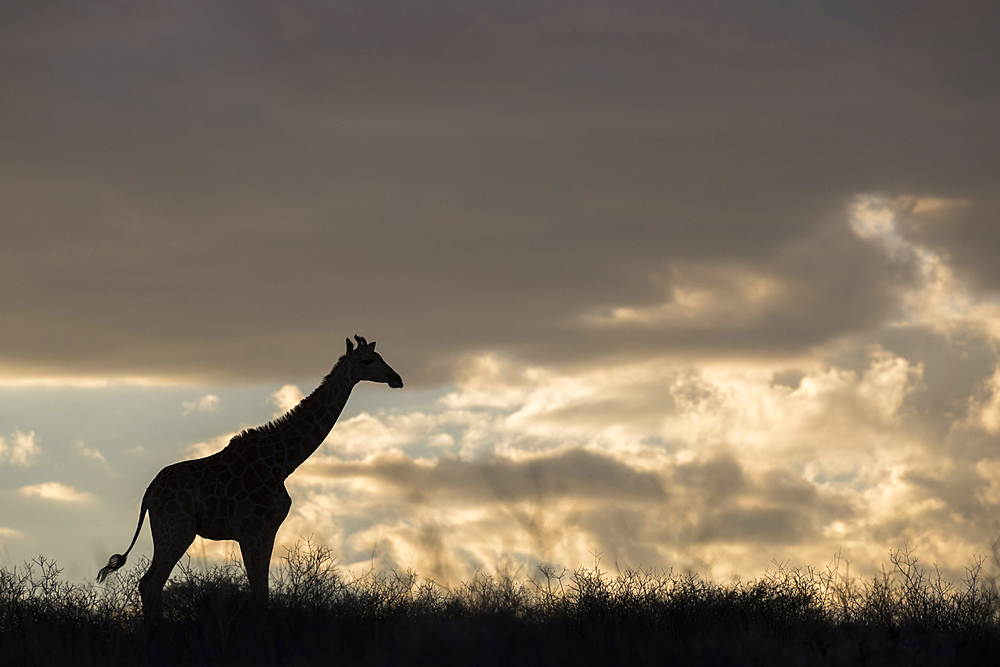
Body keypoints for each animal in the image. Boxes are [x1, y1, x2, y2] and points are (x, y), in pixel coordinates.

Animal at [96, 336, 402, 620]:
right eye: (367, 360)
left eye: (380, 356)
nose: (396, 378)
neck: (283, 462)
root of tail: (149, 493)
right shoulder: (251, 529)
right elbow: (257, 592)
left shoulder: (268, 530)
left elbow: (262, 590)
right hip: (176, 529)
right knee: (150, 584)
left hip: (169, 531)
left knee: (148, 583)